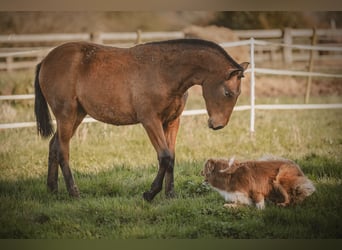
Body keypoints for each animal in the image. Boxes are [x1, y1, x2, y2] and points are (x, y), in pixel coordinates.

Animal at [34, 38, 248, 200]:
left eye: (238, 94)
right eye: (228, 93)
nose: (218, 125)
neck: (165, 71)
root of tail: (45, 60)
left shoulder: (172, 122)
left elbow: (171, 157)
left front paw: (170, 194)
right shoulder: (150, 121)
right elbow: (165, 157)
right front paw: (150, 193)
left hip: (77, 115)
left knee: (54, 145)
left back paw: (52, 189)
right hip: (66, 115)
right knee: (63, 150)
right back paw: (74, 192)